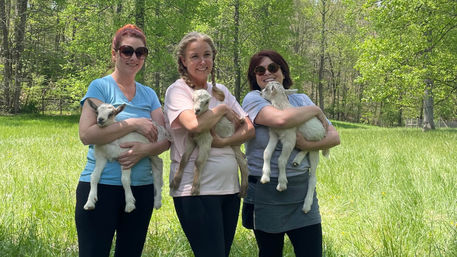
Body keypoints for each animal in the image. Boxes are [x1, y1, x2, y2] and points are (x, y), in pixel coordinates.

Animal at [260, 81, 328, 212]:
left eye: (266, 89)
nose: (259, 93)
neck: (281, 107)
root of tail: (324, 132)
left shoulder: (290, 138)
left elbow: (281, 160)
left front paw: (282, 184)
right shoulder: (274, 134)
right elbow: (266, 153)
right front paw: (265, 177)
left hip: (315, 147)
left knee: (313, 178)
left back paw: (306, 205)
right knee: (305, 148)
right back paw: (297, 160)